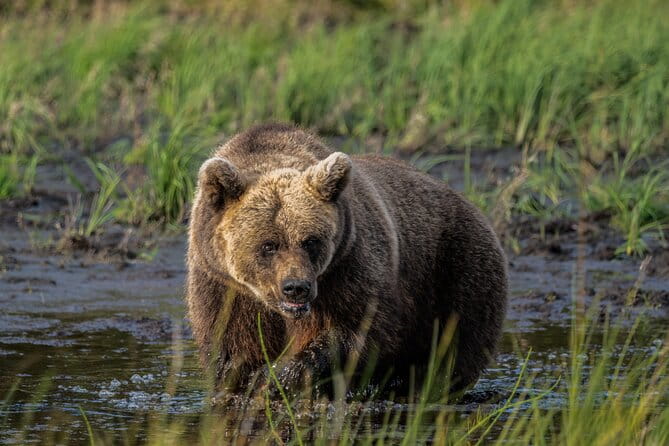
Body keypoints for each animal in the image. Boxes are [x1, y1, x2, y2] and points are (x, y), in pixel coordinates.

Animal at [186, 123, 507, 397]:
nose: (296, 288)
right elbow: (231, 344)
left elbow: (356, 329)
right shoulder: (222, 284)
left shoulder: (347, 265)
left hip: (456, 267)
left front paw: (280, 376)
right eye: (268, 245)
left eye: (310, 241)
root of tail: (468, 202)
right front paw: (247, 381)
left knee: (453, 344)